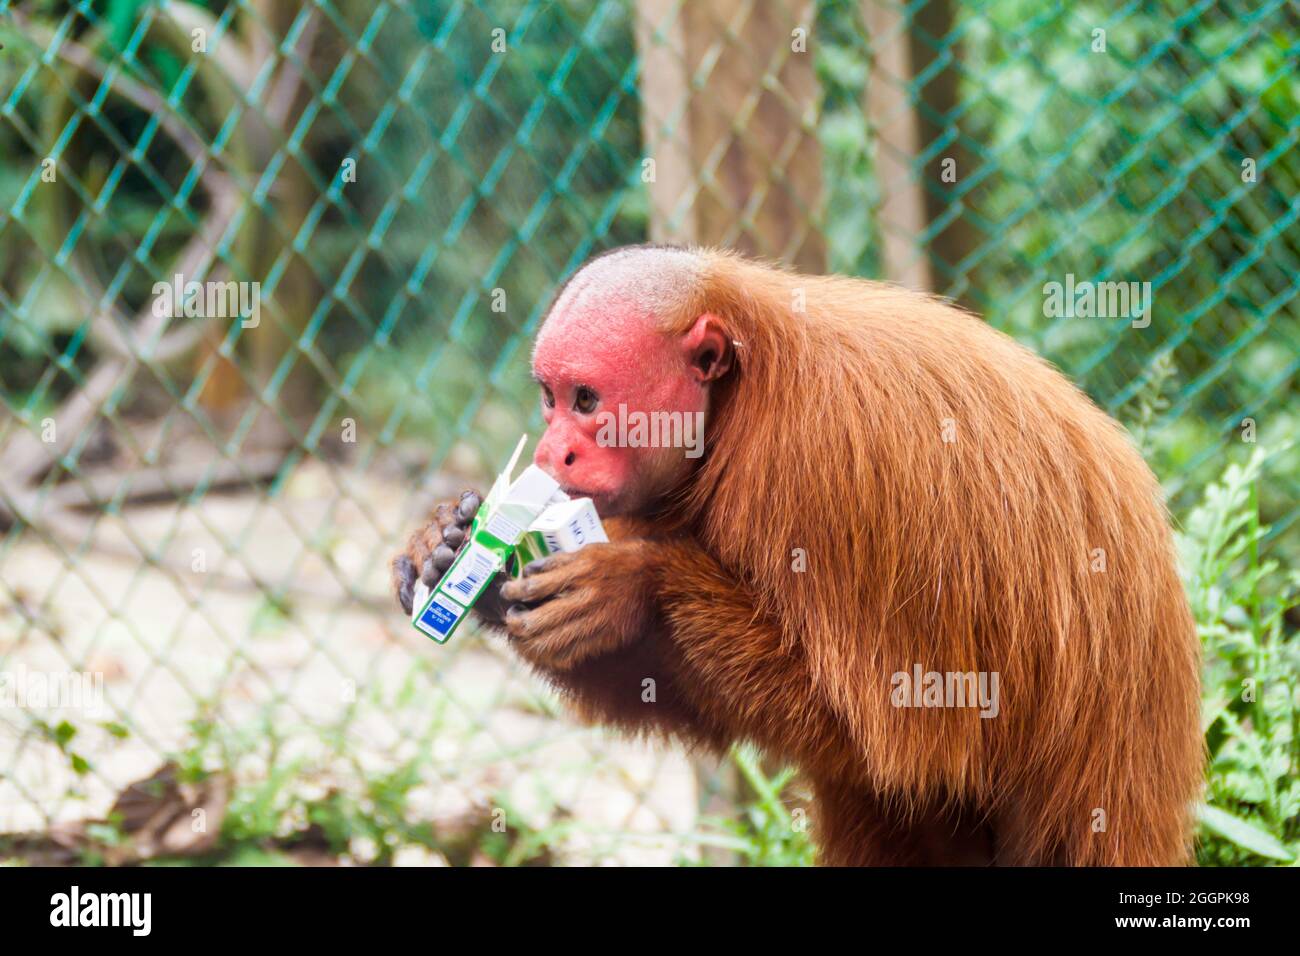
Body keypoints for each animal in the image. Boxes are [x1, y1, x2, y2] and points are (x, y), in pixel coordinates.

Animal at [390, 244, 1201, 868]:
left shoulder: (832, 471)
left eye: (586, 400)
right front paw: (454, 551)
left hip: (1102, 785)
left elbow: (900, 735)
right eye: (550, 399)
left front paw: (634, 588)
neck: (737, 403)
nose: (553, 450)